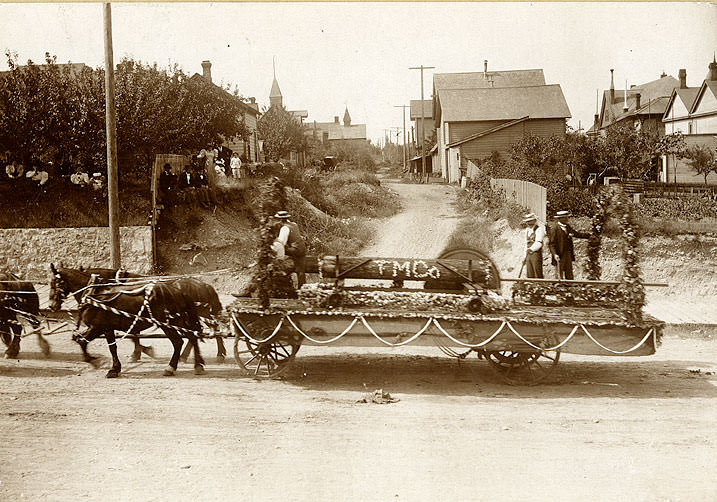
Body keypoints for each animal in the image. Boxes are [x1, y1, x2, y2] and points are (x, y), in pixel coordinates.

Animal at [75, 276, 204, 378]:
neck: (95, 296)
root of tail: (180, 292)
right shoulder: (99, 328)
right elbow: (81, 341)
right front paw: (97, 362)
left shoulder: (100, 327)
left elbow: (110, 347)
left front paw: (111, 368)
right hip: (178, 321)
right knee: (191, 337)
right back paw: (197, 365)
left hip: (168, 323)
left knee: (178, 342)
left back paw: (171, 367)